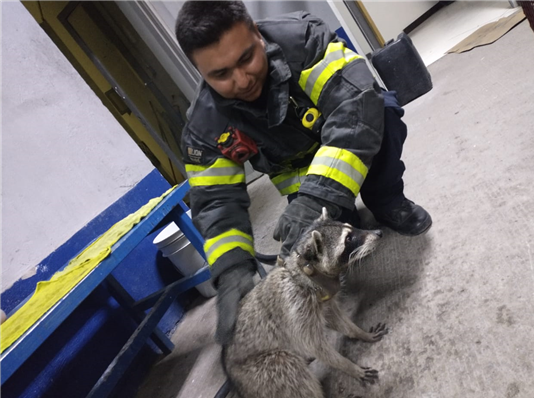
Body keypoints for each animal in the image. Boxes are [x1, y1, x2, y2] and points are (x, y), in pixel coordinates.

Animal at [223, 208, 390, 398]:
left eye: (351, 227)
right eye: (348, 239)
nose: (379, 232)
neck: (307, 273)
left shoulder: (322, 301)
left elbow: (336, 319)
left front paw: (359, 333)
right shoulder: (296, 307)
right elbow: (315, 346)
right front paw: (348, 366)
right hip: (259, 373)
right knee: (292, 371)